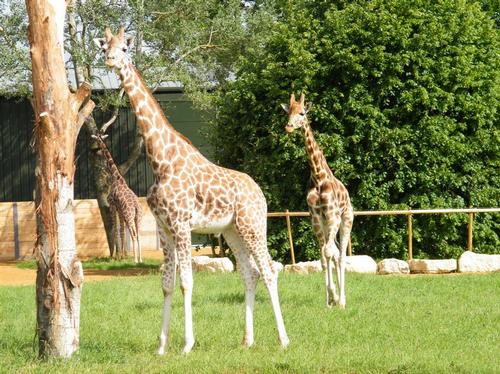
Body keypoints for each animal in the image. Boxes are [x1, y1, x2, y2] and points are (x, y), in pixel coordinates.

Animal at [93, 134, 143, 262]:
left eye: (97, 139)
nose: (96, 148)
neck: (116, 177)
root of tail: (136, 207)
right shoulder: (120, 210)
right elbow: (121, 231)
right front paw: (122, 256)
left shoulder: (112, 204)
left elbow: (115, 229)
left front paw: (117, 257)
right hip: (138, 217)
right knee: (138, 234)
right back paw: (140, 259)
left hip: (129, 216)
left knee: (134, 234)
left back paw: (135, 260)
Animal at [282, 92, 356, 308]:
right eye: (288, 112)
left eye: (302, 113)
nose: (288, 127)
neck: (318, 176)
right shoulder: (315, 217)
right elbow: (323, 256)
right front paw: (328, 299)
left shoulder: (333, 216)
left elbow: (330, 253)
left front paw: (336, 298)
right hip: (325, 222)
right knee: (334, 252)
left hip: (346, 220)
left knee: (341, 255)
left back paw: (343, 300)